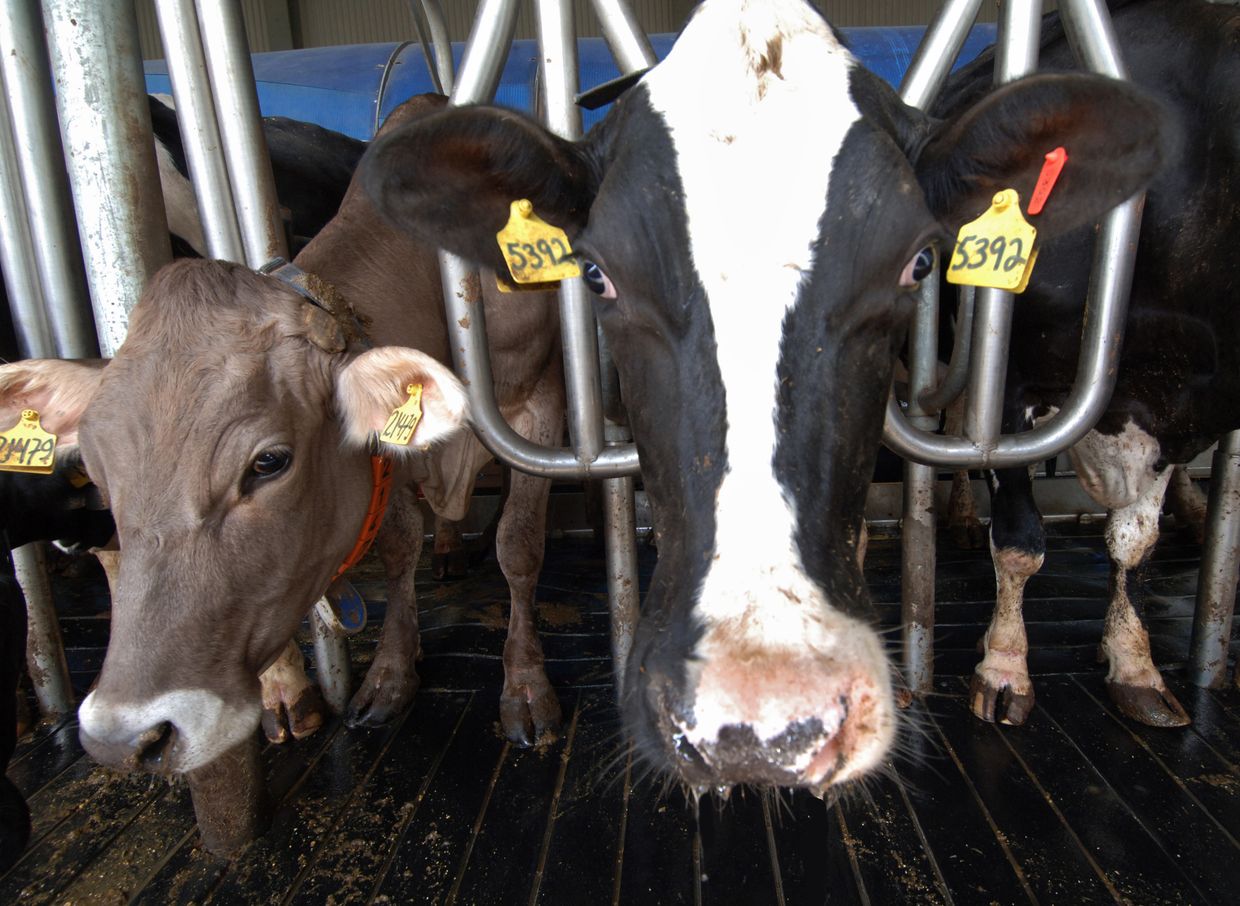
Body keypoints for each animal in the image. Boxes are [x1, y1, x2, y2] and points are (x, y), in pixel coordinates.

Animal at [923, 0, 1239, 729]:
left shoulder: (1185, 407)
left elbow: (1135, 542)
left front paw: (1135, 662)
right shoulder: (1011, 381)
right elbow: (1020, 538)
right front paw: (1004, 667)